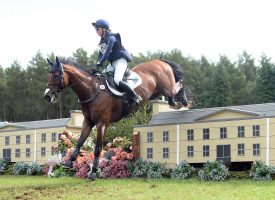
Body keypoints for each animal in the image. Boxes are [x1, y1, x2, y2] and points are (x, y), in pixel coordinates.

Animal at [44, 55, 190, 180]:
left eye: (57, 75)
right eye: (49, 74)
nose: (47, 96)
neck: (92, 89)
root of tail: (159, 61)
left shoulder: (102, 123)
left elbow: (98, 148)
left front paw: (93, 172)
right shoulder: (88, 122)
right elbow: (80, 141)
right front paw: (69, 161)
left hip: (166, 86)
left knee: (178, 85)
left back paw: (184, 101)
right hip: (157, 91)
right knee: (172, 94)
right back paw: (176, 103)